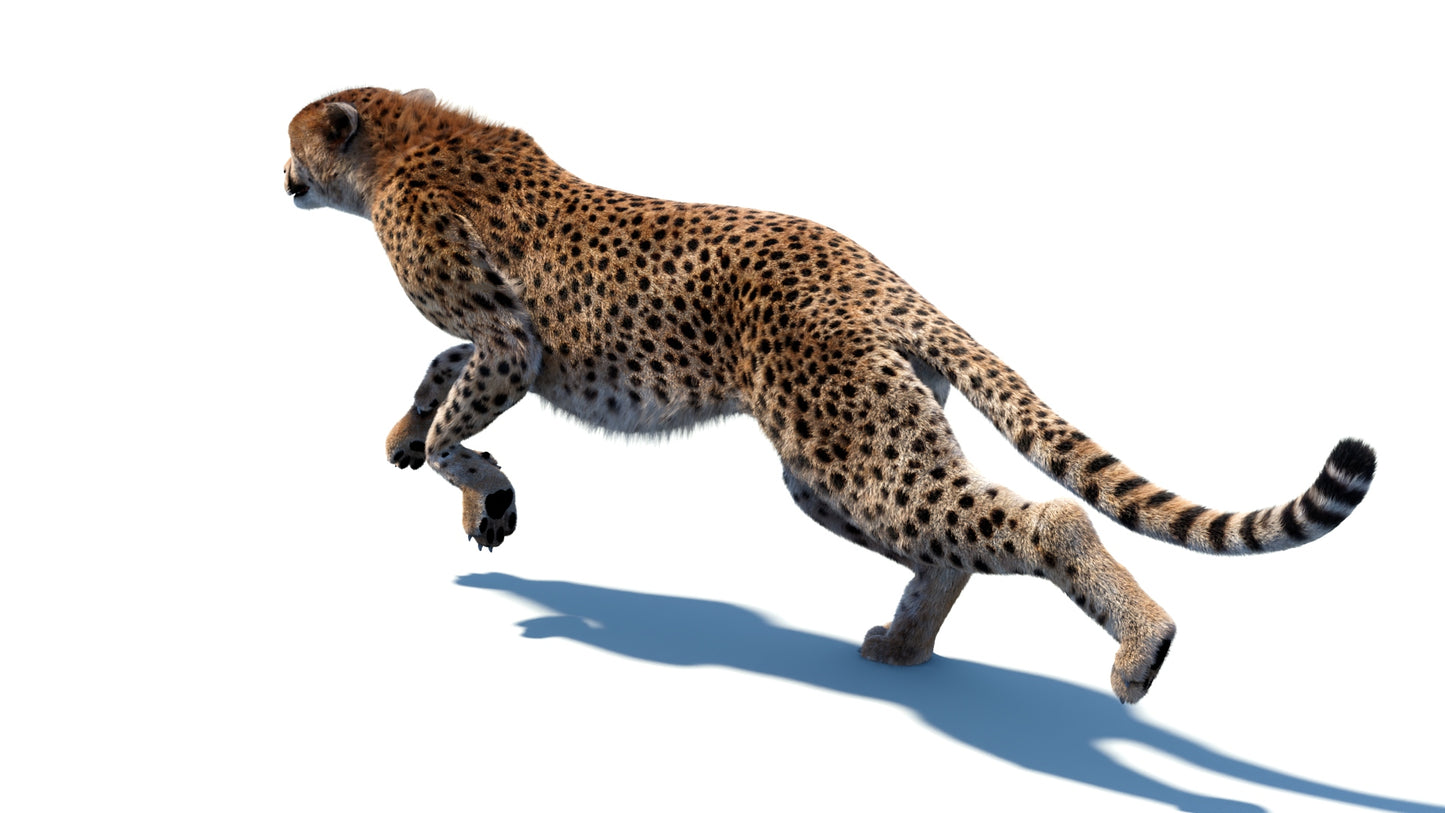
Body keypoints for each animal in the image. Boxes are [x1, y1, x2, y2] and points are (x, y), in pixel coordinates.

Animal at [284, 87, 1376, 703]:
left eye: (294, 143)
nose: (282, 176)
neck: (401, 139)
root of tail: (875, 272)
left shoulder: (513, 342)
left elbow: (463, 410)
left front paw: (480, 488)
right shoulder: (505, 345)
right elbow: (440, 373)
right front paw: (411, 438)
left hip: (849, 452)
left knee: (1048, 520)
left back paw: (1139, 650)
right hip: (844, 457)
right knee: (951, 546)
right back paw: (904, 647)